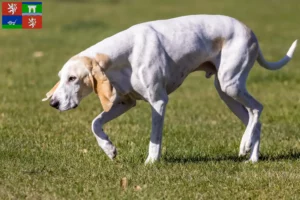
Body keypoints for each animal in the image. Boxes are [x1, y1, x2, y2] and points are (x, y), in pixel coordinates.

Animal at [42, 14, 298, 163]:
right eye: (61, 78)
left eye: (73, 78)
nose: (53, 103)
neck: (124, 56)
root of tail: (250, 31)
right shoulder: (125, 103)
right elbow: (95, 123)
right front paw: (109, 149)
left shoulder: (158, 102)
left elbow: (155, 138)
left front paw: (151, 163)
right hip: (226, 93)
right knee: (255, 120)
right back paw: (252, 157)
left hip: (230, 84)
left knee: (258, 108)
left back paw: (245, 146)